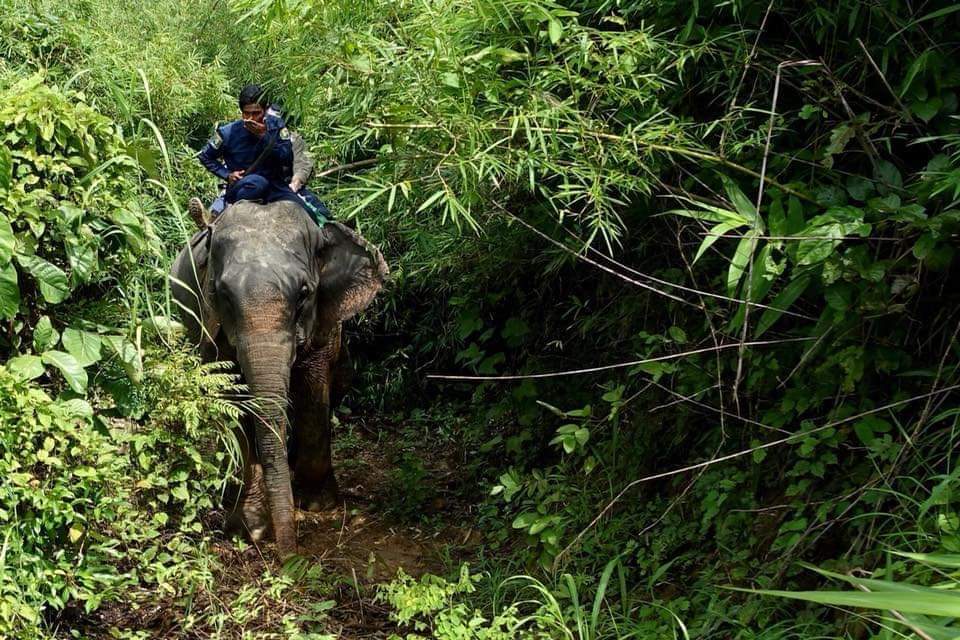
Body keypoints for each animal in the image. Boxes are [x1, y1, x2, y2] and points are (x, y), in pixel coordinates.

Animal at [169, 200, 388, 554]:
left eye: (303, 293)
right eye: (221, 293)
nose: (290, 558)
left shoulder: (324, 318)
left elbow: (313, 384)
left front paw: (318, 504)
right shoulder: (210, 325)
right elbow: (234, 399)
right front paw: (250, 529)